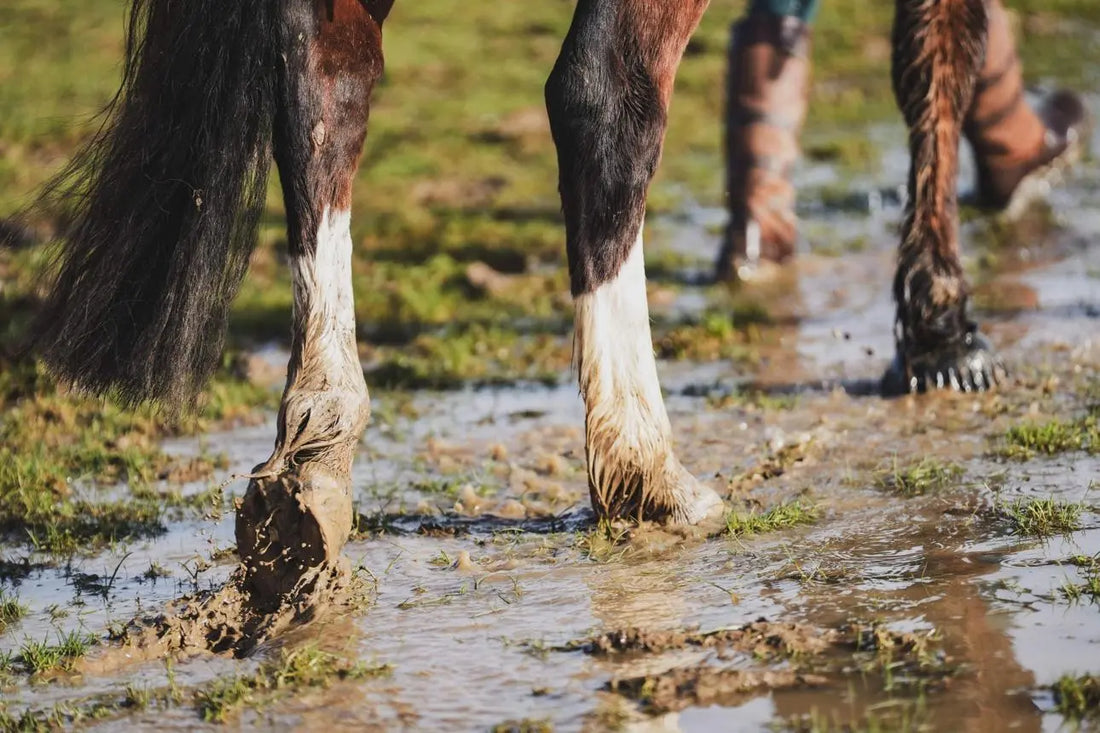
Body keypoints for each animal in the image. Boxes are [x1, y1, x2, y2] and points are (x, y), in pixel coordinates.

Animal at [32, 0, 999, 606]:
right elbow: (940, 50)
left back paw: (315, 452)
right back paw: (645, 465)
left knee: (322, 86)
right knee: (604, 95)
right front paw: (940, 326)